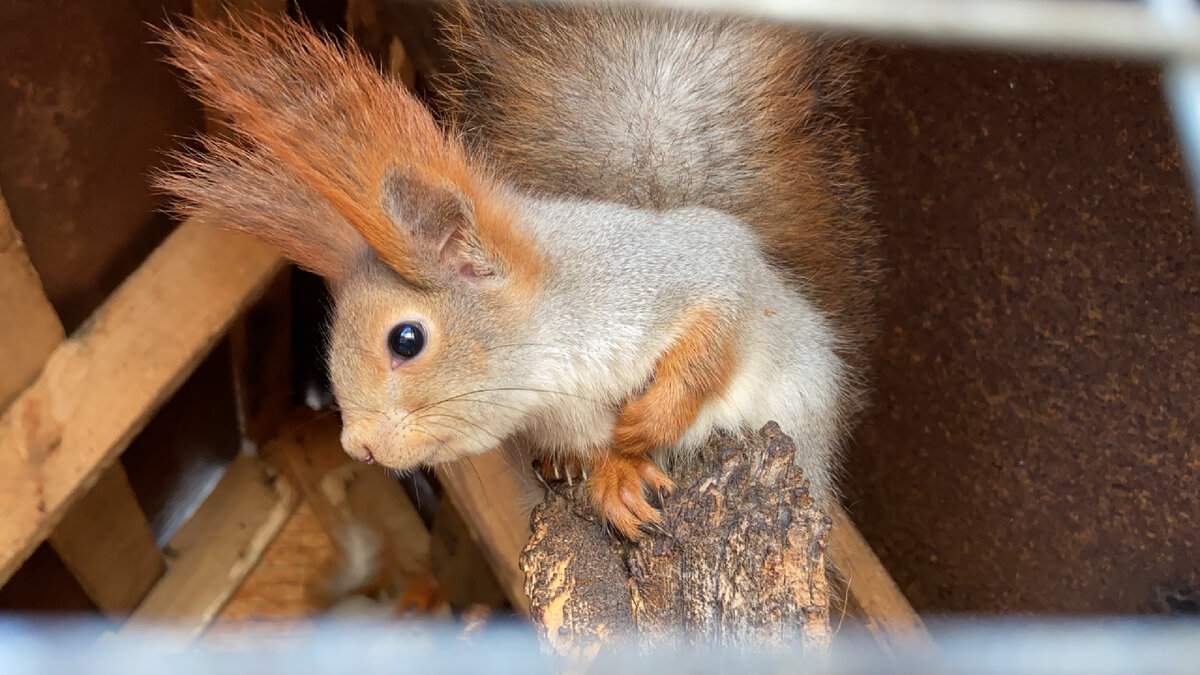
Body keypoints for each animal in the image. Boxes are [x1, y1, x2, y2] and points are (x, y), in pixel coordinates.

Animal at [154, 0, 878, 535]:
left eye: (406, 339)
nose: (357, 447)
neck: (552, 367)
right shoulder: (564, 414)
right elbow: (596, 448)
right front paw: (613, 475)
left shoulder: (687, 268)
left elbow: (718, 327)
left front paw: (648, 422)